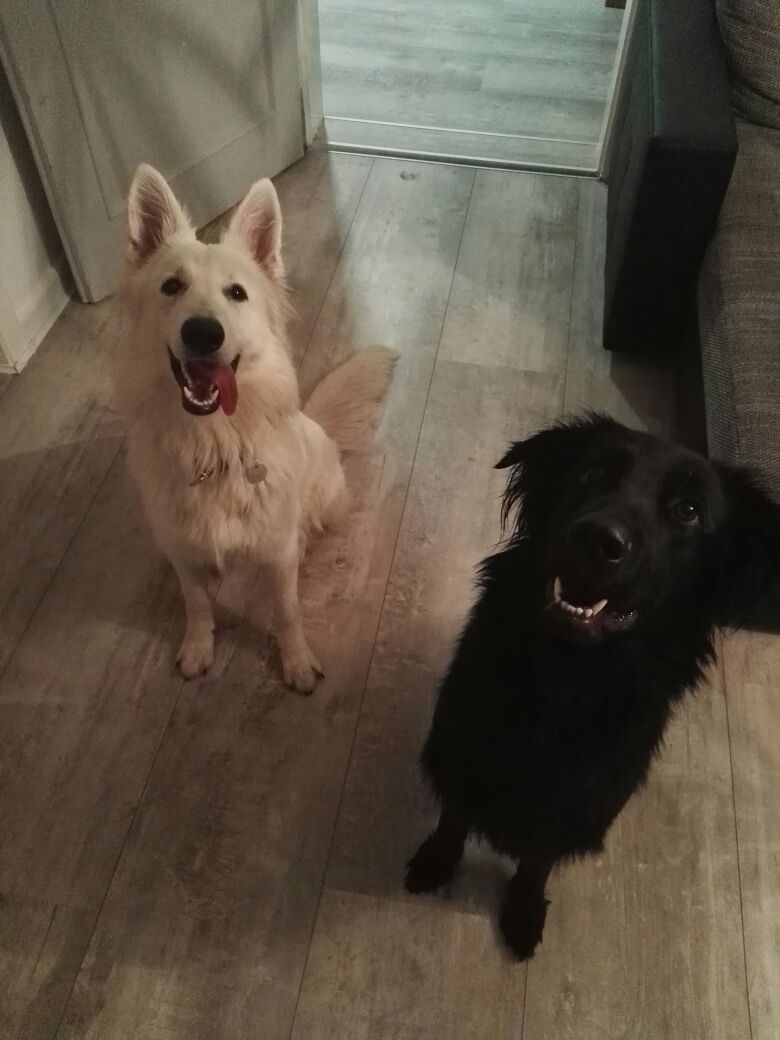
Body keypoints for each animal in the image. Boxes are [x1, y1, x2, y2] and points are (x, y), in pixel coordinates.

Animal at [115, 164, 395, 692]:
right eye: (171, 287)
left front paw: (296, 660)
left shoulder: (276, 553)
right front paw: (198, 646)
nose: (203, 332)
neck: (214, 445)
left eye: (236, 293)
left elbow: (286, 611)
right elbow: (197, 603)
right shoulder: (182, 550)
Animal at [406, 414, 780, 959]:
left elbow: (538, 859)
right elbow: (454, 816)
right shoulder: (461, 753)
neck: (565, 678)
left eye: (688, 510)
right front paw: (436, 859)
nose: (596, 538)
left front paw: (523, 909)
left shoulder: (578, 803)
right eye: (593, 473)